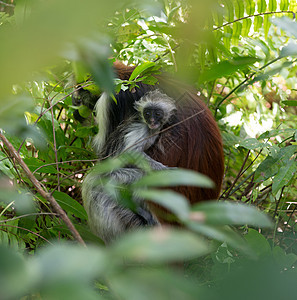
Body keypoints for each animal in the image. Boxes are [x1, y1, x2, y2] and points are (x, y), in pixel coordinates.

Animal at [82, 89, 177, 244]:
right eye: (147, 113)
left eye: (157, 113)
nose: (152, 121)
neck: (150, 129)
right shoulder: (141, 130)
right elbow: (131, 152)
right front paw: (166, 171)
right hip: (113, 176)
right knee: (141, 176)